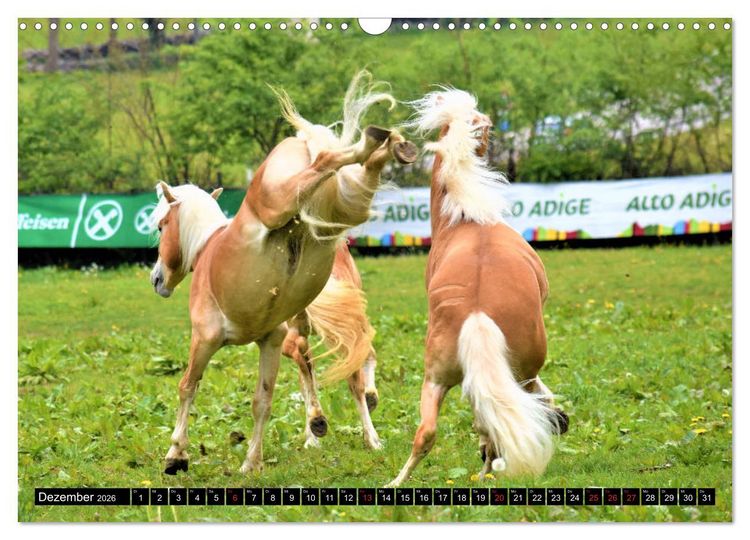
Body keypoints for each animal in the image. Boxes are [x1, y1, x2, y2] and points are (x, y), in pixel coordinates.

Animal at [149, 71, 416, 475]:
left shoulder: (205, 338)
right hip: (343, 209)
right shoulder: (271, 341)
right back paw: (386, 144)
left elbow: (187, 386)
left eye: (162, 225)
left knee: (326, 160)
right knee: (358, 177)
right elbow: (263, 400)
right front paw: (251, 463)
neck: (211, 246)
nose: (157, 279)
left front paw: (176, 454)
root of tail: (300, 144)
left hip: (280, 201)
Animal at [387, 89, 568, 487]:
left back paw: (398, 481)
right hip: (521, 370)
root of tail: (477, 312)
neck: (466, 218)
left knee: (429, 432)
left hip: (436, 378)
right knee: (520, 407)